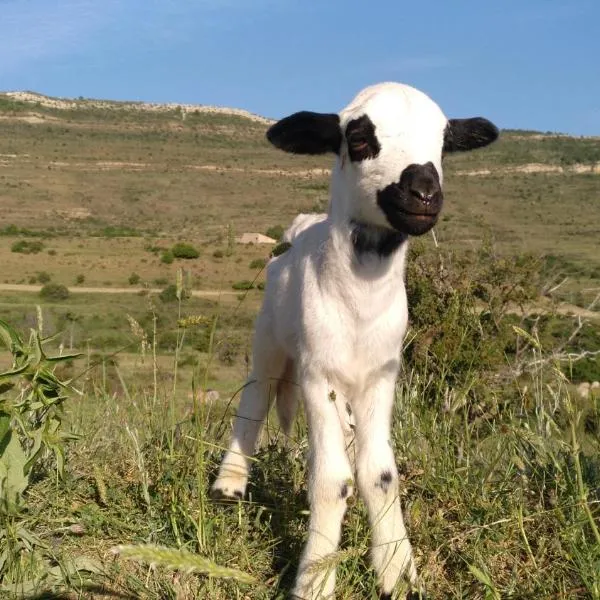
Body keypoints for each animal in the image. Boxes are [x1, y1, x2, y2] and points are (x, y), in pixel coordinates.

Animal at [211, 81, 496, 600]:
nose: (424, 191)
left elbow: (379, 475)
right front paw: (315, 577)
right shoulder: (316, 373)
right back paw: (229, 484)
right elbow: (331, 480)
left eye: (444, 145)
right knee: (256, 395)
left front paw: (397, 569)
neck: (360, 304)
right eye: (360, 139)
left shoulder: (383, 375)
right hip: (270, 337)